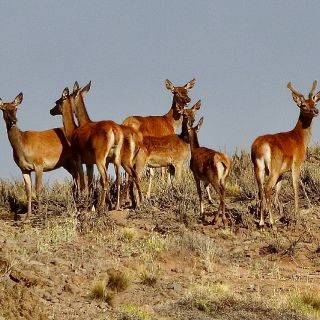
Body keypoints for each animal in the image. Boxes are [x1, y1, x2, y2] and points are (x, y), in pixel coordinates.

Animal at [0, 91, 81, 219]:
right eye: (3, 109)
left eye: (16, 108)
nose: (13, 121)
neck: (23, 146)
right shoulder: (24, 169)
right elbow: (28, 191)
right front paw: (28, 216)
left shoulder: (39, 164)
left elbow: (38, 189)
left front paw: (40, 213)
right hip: (67, 164)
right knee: (76, 179)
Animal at [71, 80, 144, 208]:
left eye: (69, 95)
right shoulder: (107, 161)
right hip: (122, 161)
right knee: (128, 178)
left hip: (113, 161)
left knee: (120, 178)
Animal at [251, 81, 318, 229]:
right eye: (303, 105)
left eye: (314, 102)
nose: (316, 111)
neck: (299, 139)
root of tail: (261, 146)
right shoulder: (296, 163)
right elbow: (295, 186)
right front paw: (297, 215)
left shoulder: (282, 172)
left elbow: (278, 190)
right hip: (273, 168)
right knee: (267, 188)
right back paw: (272, 223)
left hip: (258, 168)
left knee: (260, 189)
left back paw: (262, 222)